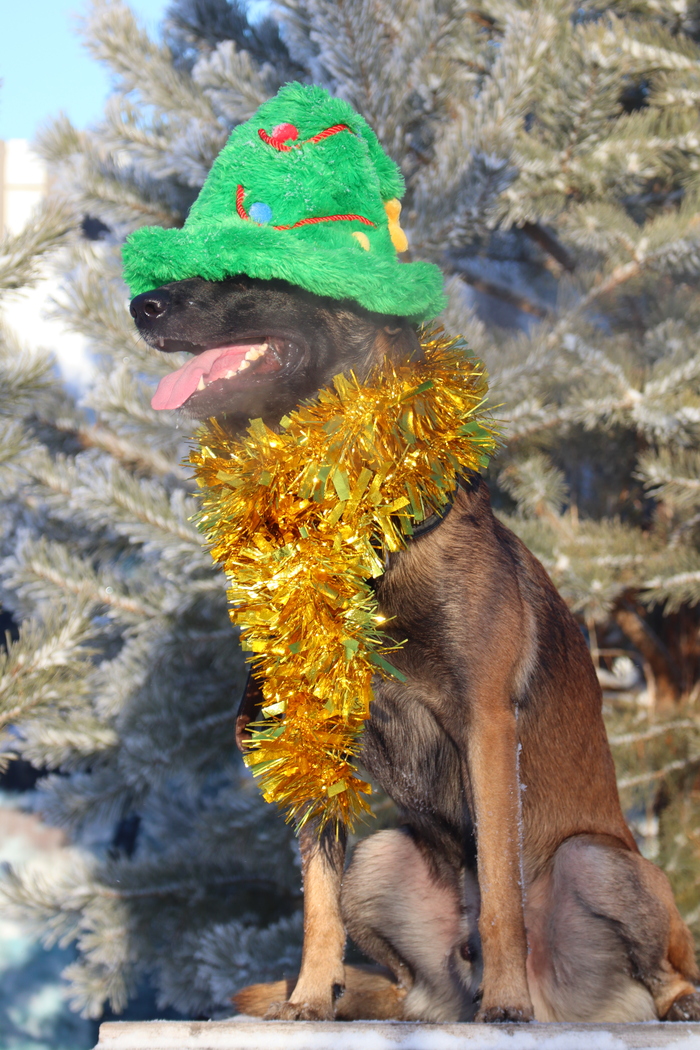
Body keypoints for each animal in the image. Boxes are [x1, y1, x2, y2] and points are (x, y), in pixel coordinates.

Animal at [131, 274, 700, 1024]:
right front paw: (309, 997)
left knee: (665, 966)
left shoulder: (487, 727)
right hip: (379, 862)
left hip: (598, 862)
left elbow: (500, 888)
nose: (140, 307)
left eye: (245, 270)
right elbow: (317, 897)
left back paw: (633, 1001)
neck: (353, 524)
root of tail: (560, 1003)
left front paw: (505, 1003)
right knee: (402, 977)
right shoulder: (312, 742)